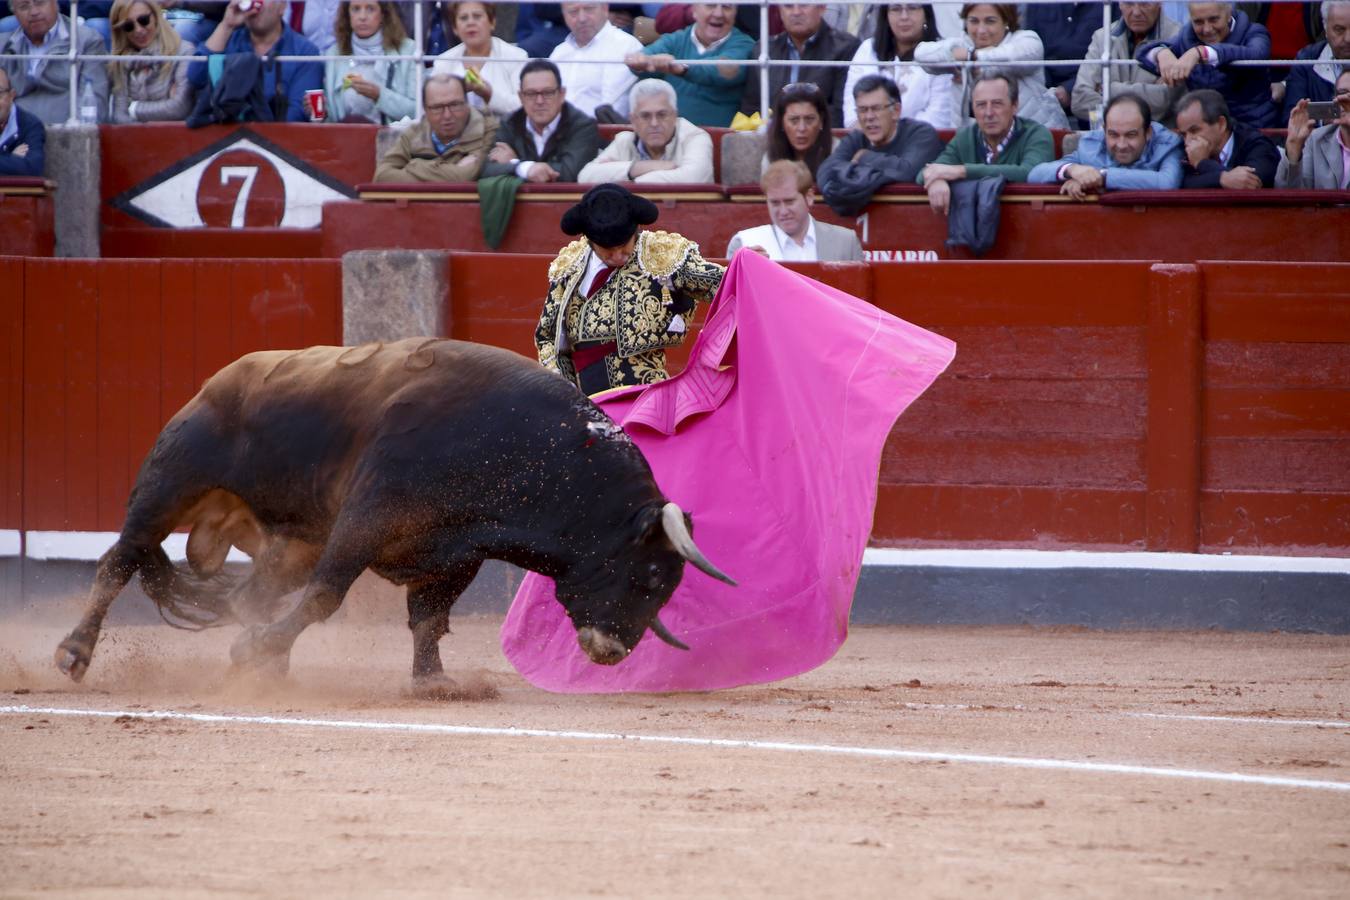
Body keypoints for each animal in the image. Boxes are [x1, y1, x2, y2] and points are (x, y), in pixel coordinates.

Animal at [52, 337, 734, 690]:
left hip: (293, 539)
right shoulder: (368, 518)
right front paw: (254, 649)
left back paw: (272, 669)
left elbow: (429, 619)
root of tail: (218, 380)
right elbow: (327, 596)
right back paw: (74, 653)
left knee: (251, 592)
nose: (614, 652)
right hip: (168, 484)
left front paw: (434, 683)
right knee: (118, 562)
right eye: (649, 576)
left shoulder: (454, 553)